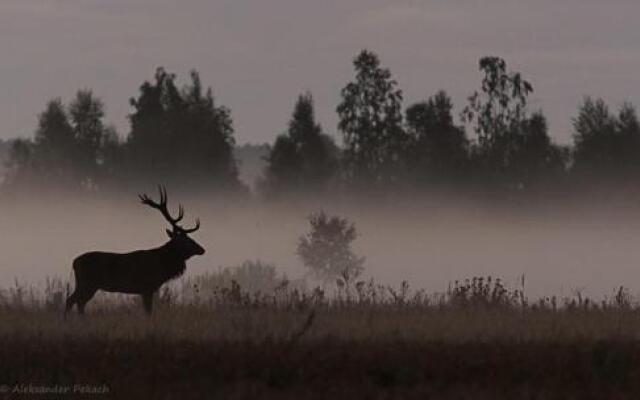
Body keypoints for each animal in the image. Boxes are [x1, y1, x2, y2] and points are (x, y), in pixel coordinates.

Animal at [65, 187, 205, 316]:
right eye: (185, 240)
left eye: (190, 238)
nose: (202, 249)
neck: (161, 266)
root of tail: (74, 262)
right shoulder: (146, 287)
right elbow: (148, 312)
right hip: (87, 283)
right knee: (72, 300)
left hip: (87, 285)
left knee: (78, 302)